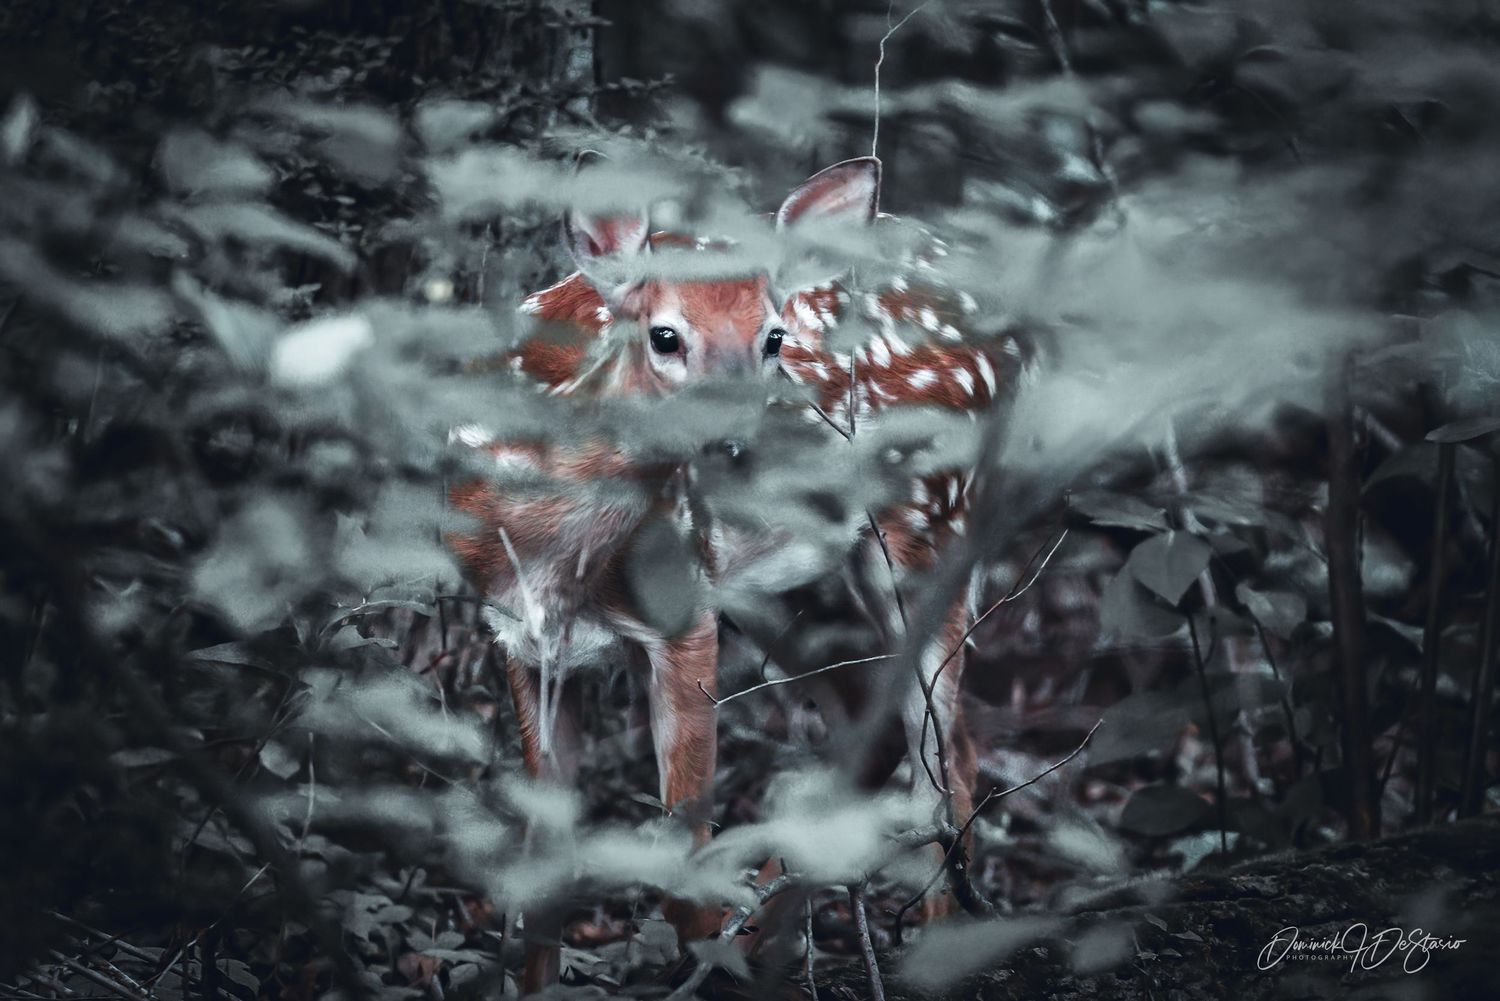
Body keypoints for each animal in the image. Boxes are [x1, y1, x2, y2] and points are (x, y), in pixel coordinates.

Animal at [447, 154, 1019, 993]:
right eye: (665, 335)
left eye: (774, 336)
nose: (744, 443)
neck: (558, 553)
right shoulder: (518, 634)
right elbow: (543, 868)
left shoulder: (683, 612)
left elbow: (682, 867)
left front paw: (707, 951)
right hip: (780, 588)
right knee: (878, 730)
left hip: (927, 535)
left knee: (945, 760)